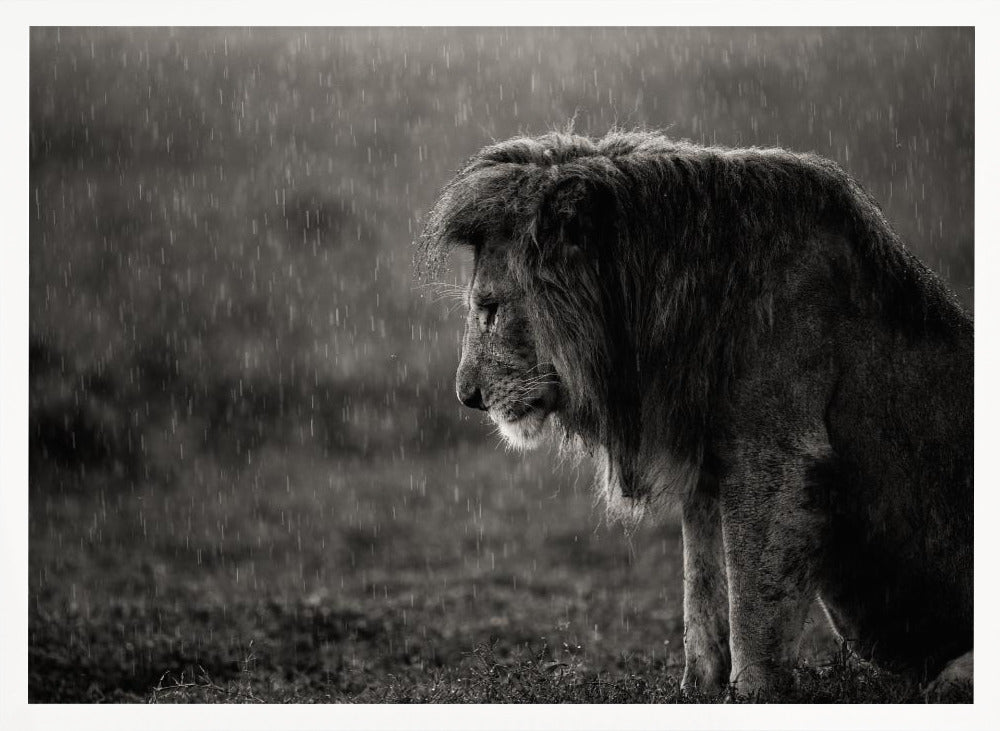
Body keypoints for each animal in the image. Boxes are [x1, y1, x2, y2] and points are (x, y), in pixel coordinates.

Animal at [416, 130, 973, 699]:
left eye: (489, 309)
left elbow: (752, 605)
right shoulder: (706, 462)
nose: (467, 396)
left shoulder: (776, 458)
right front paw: (695, 690)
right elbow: (702, 589)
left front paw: (752, 694)